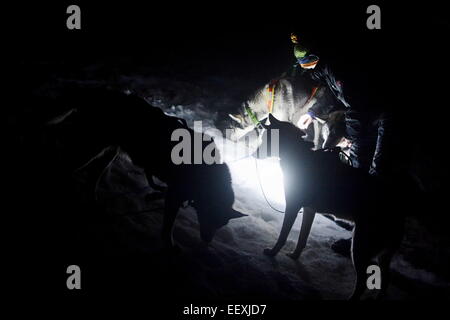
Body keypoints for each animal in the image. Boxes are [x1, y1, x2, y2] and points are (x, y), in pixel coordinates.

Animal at [49, 89, 246, 249]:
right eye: (211, 218)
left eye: (220, 224)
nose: (207, 241)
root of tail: (100, 95)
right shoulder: (175, 195)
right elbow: (168, 226)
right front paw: (169, 245)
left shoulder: (175, 192)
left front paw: (153, 196)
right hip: (89, 148)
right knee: (64, 167)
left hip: (107, 153)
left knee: (91, 179)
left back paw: (93, 202)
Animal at [255, 113, 406, 300]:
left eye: (265, 139)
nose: (253, 153)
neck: (298, 155)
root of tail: (399, 213)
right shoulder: (309, 210)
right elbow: (302, 239)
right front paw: (295, 256)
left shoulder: (292, 207)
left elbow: (283, 236)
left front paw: (273, 253)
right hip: (382, 255)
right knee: (386, 279)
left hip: (359, 247)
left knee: (363, 281)